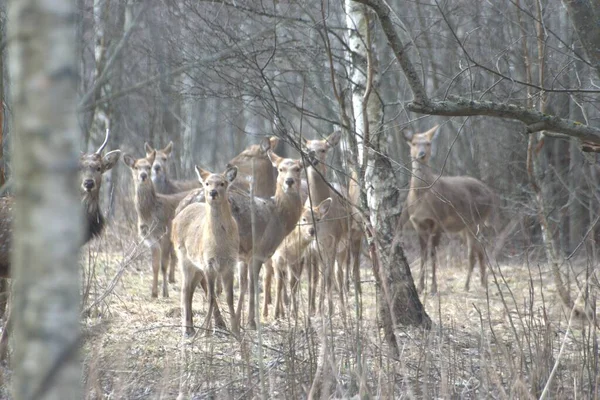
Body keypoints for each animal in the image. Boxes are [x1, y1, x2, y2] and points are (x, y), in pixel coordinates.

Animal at [124, 152, 192, 298]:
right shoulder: (150, 239)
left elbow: (163, 265)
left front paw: (165, 292)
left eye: (148, 167)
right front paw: (154, 293)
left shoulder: (165, 235)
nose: (143, 175)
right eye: (136, 167)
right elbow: (154, 266)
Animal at [170, 164, 240, 336]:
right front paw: (207, 331)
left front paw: (236, 331)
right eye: (207, 183)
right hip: (184, 258)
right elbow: (211, 297)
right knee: (185, 290)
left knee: (191, 290)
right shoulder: (209, 264)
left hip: (197, 267)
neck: (220, 245)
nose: (213, 192)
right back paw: (187, 330)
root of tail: (176, 217)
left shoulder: (230, 264)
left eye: (222, 183)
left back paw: (192, 328)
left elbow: (229, 297)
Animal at [404, 125, 496, 294]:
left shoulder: (438, 221)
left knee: (473, 253)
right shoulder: (417, 223)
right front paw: (420, 287)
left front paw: (433, 287)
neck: (421, 198)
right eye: (413, 143)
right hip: (465, 227)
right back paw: (482, 283)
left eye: (428, 143)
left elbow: (433, 254)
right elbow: (422, 255)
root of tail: (491, 194)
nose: (421, 154)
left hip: (476, 221)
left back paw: (469, 285)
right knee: (479, 251)